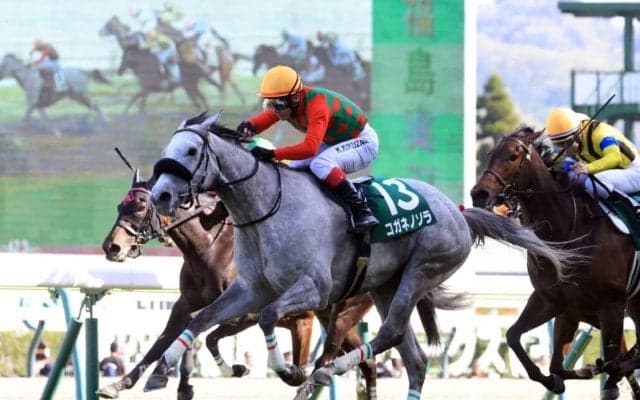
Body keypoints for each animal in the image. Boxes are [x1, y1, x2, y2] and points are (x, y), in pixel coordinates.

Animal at [98, 169, 381, 399]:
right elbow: (162, 342)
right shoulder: (185, 304)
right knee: (365, 362)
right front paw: (121, 384)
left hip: (345, 310)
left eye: (140, 206)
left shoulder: (248, 312)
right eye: (120, 206)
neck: (210, 250)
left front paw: (232, 369)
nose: (112, 247)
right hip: (327, 314)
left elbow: (207, 336)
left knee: (334, 356)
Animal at [145, 112, 575, 400]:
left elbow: (267, 318)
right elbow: (202, 320)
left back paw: (325, 372)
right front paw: (167, 369)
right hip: (385, 284)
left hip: (422, 269)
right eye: (167, 148)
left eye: (191, 149)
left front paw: (290, 371)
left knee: (391, 334)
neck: (267, 207)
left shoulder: (313, 288)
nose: (160, 195)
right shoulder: (250, 289)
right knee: (415, 358)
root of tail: (459, 212)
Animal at [470, 126, 640, 400]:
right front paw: (559, 380)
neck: (569, 228)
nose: (479, 194)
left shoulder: (611, 303)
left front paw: (606, 375)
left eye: (513, 156)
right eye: (489, 154)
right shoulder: (556, 301)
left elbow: (612, 361)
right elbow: (519, 340)